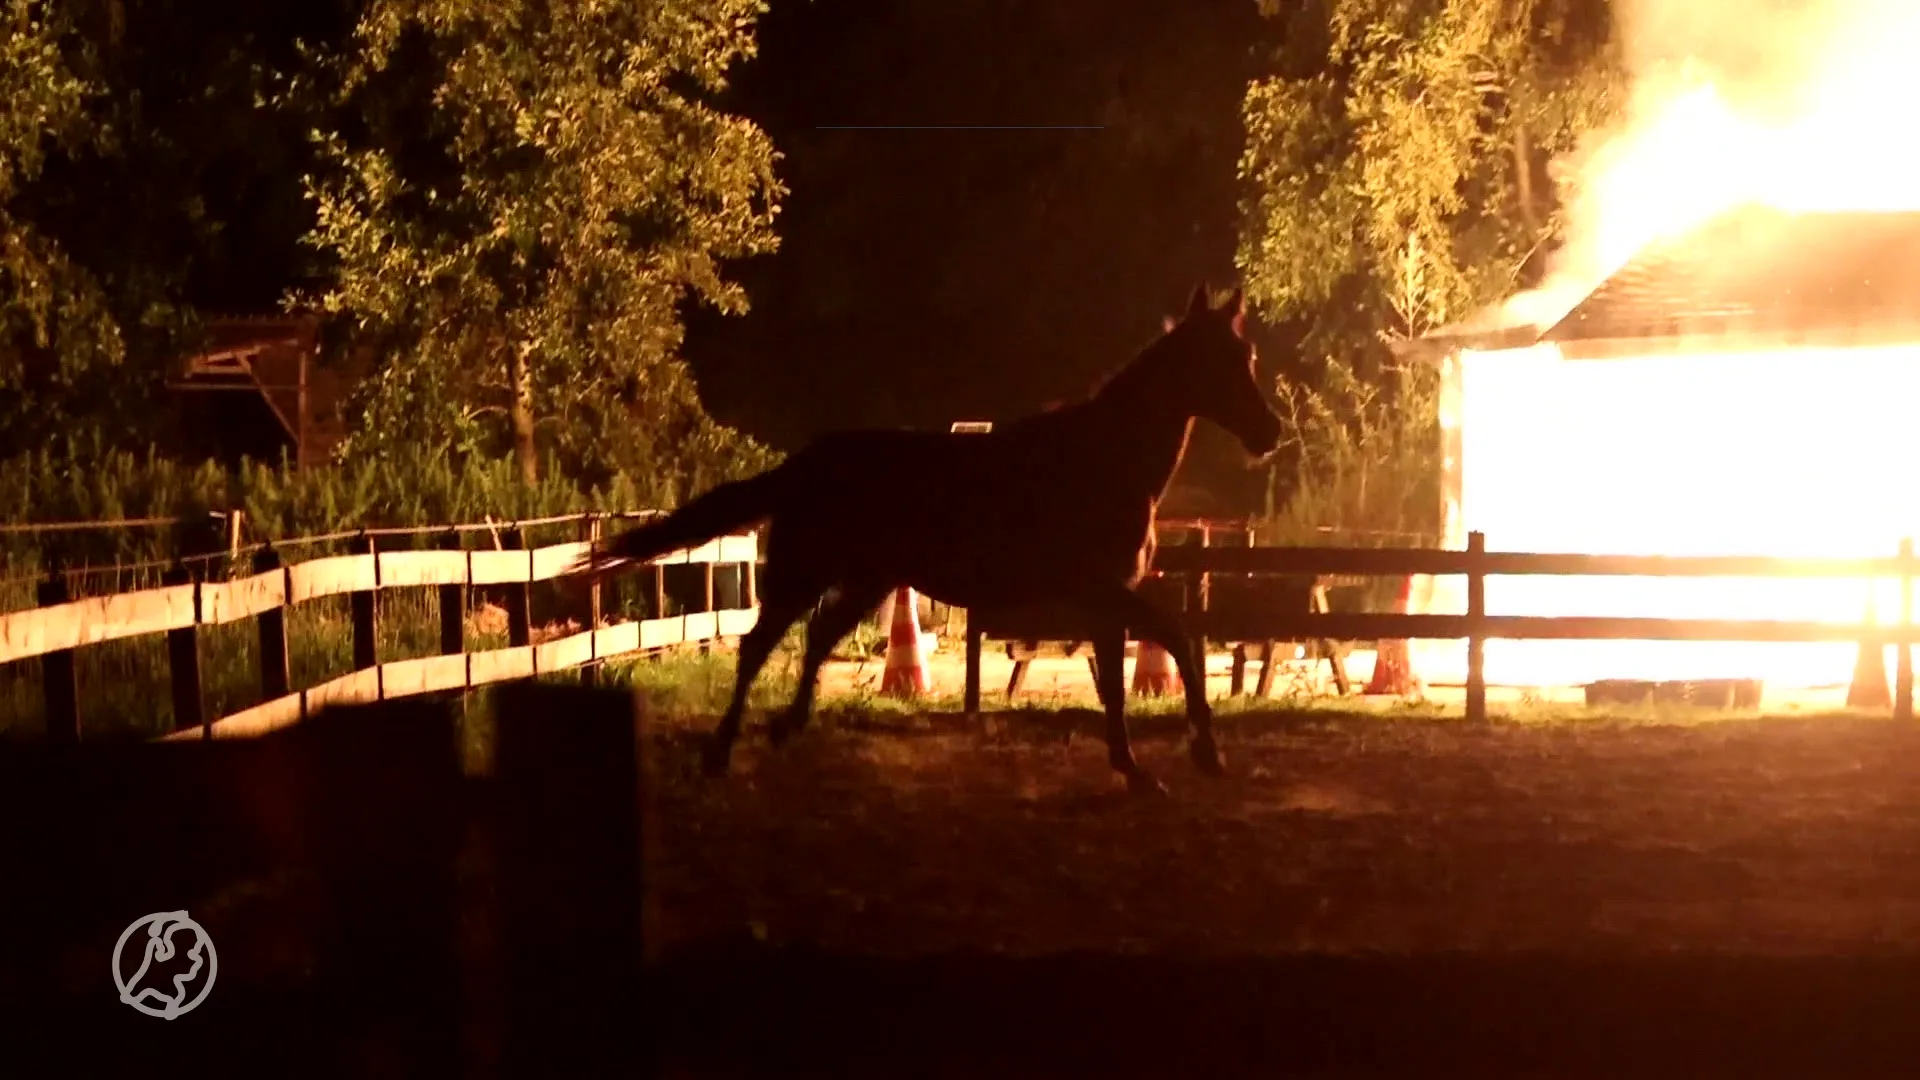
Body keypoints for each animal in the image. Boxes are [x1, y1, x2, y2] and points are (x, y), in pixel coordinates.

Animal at [565, 283, 1282, 794]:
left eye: (1247, 356)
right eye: (1223, 360)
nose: (1269, 433)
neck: (1103, 458)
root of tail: (804, 463)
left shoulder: (1105, 598)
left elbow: (1122, 677)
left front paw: (1137, 767)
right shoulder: (1103, 590)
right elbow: (1178, 645)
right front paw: (1201, 754)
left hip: (868, 577)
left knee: (817, 639)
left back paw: (786, 728)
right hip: (805, 571)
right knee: (758, 646)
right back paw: (722, 751)